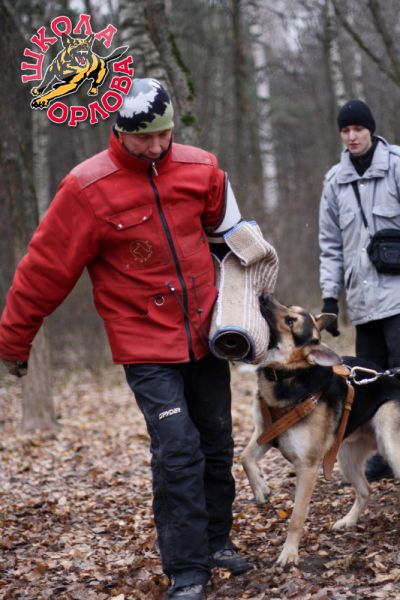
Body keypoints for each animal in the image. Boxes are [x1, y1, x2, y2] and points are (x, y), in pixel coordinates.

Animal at [242, 293, 400, 567]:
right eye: (288, 308)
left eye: (291, 320)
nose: (263, 295)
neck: (288, 376)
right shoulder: (265, 434)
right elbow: (244, 458)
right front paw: (261, 487)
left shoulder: (307, 467)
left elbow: (296, 518)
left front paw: (289, 554)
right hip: (346, 457)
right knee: (365, 490)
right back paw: (348, 521)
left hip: (389, 440)